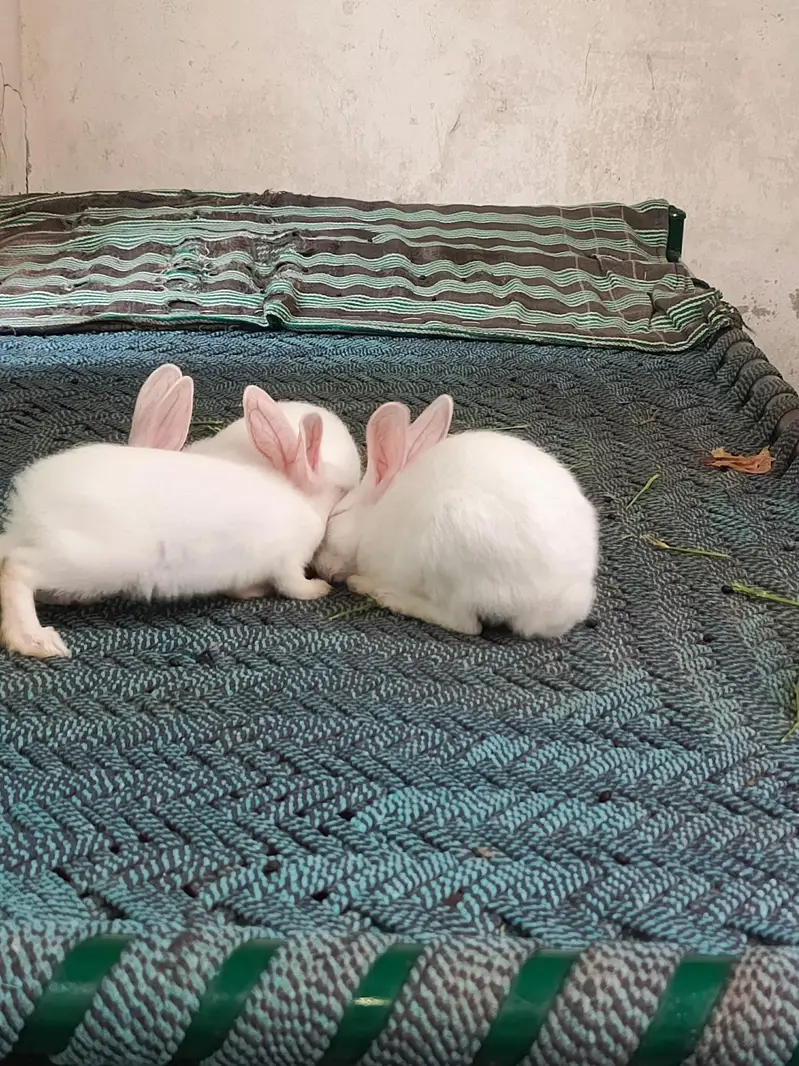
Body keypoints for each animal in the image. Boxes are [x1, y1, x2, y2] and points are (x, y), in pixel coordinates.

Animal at [0, 398, 340, 660]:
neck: (304, 501)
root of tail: (27, 509)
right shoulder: (288, 563)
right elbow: (294, 586)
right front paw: (320, 589)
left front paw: (252, 592)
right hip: (84, 559)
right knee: (17, 569)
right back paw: (36, 641)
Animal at [314, 398, 599, 639]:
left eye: (336, 516)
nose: (319, 567)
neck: (372, 520)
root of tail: (554, 600)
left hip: (446, 549)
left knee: (464, 623)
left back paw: (381, 592)